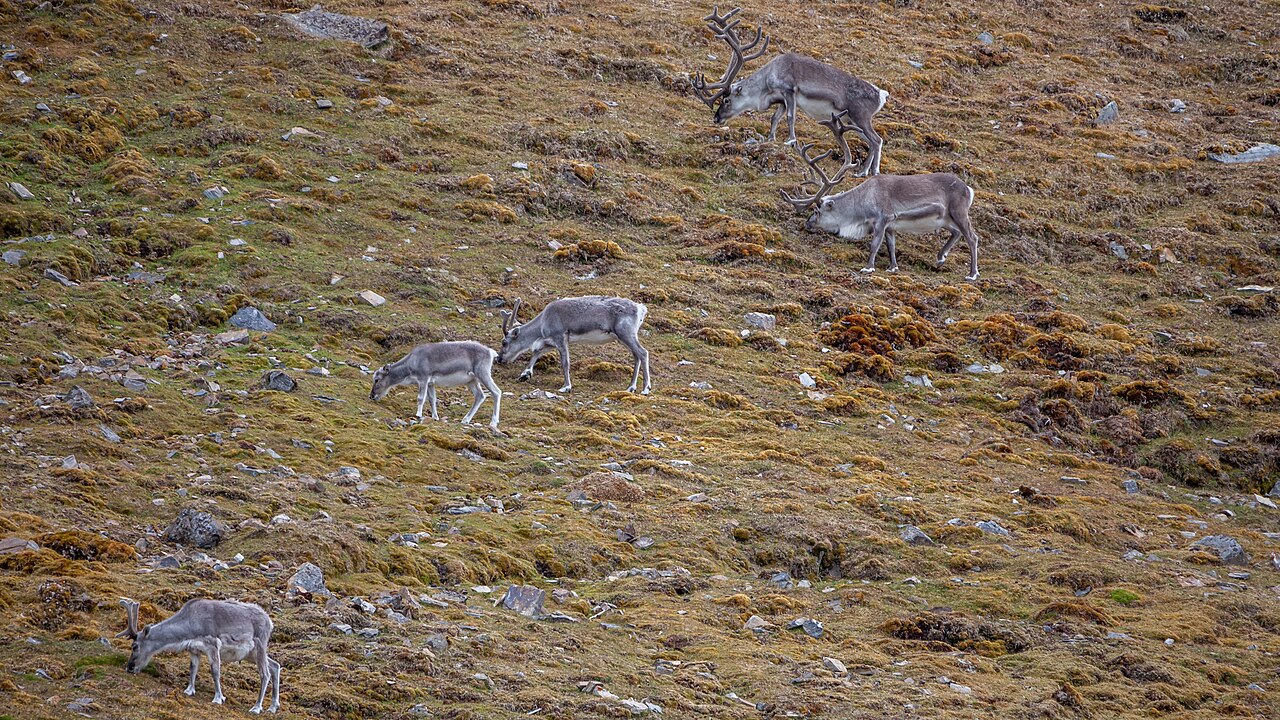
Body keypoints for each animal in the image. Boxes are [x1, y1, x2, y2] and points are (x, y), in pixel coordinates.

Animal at [118, 597, 281, 714]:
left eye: (134, 646)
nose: (129, 667)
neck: (189, 627)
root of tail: (270, 621)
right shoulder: (194, 649)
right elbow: (193, 669)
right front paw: (189, 690)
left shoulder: (213, 644)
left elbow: (215, 672)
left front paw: (218, 698)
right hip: (250, 653)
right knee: (275, 665)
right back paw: (273, 706)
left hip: (260, 645)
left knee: (265, 674)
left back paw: (257, 707)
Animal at [369, 341, 502, 430]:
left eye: (377, 379)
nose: (371, 396)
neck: (410, 366)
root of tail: (490, 352)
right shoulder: (431, 383)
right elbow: (432, 399)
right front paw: (435, 417)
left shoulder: (423, 378)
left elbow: (421, 398)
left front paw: (418, 415)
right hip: (472, 380)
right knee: (480, 395)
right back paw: (465, 420)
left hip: (482, 373)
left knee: (496, 392)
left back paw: (493, 423)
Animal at [498, 296, 651, 395]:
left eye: (504, 342)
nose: (498, 359)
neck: (541, 326)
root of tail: (641, 308)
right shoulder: (550, 341)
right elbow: (536, 353)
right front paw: (525, 374)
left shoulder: (560, 336)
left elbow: (565, 362)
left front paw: (566, 386)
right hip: (624, 337)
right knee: (636, 355)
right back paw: (631, 387)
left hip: (625, 333)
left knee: (643, 353)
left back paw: (645, 389)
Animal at [690, 5, 888, 176]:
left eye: (726, 100)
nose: (716, 118)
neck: (766, 83)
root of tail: (881, 95)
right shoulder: (781, 100)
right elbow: (775, 117)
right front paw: (771, 138)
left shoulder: (789, 91)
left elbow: (790, 117)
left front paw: (790, 140)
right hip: (851, 121)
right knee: (871, 142)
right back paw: (862, 171)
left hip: (860, 116)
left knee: (876, 140)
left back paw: (869, 171)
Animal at [781, 112, 980, 281]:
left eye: (817, 211)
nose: (807, 223)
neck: (860, 206)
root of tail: (968, 189)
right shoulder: (891, 225)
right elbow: (891, 245)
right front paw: (893, 267)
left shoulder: (883, 218)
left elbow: (875, 244)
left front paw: (868, 267)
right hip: (945, 218)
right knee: (956, 232)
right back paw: (940, 257)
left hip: (958, 211)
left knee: (972, 237)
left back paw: (972, 274)